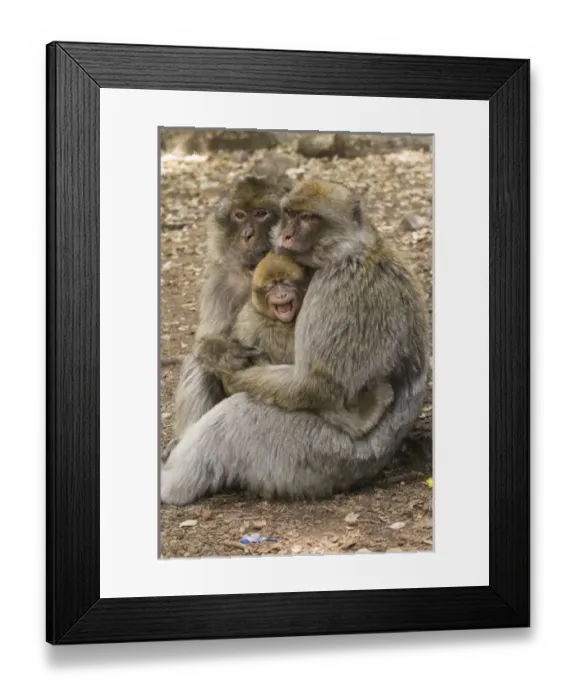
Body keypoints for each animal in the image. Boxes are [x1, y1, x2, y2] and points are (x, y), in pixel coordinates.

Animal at [161, 180, 428, 505]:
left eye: (307, 218)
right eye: (289, 215)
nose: (285, 235)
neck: (348, 251)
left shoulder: (338, 285)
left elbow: (316, 383)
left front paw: (235, 375)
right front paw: (225, 357)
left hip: (318, 456)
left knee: (238, 416)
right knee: (203, 364)